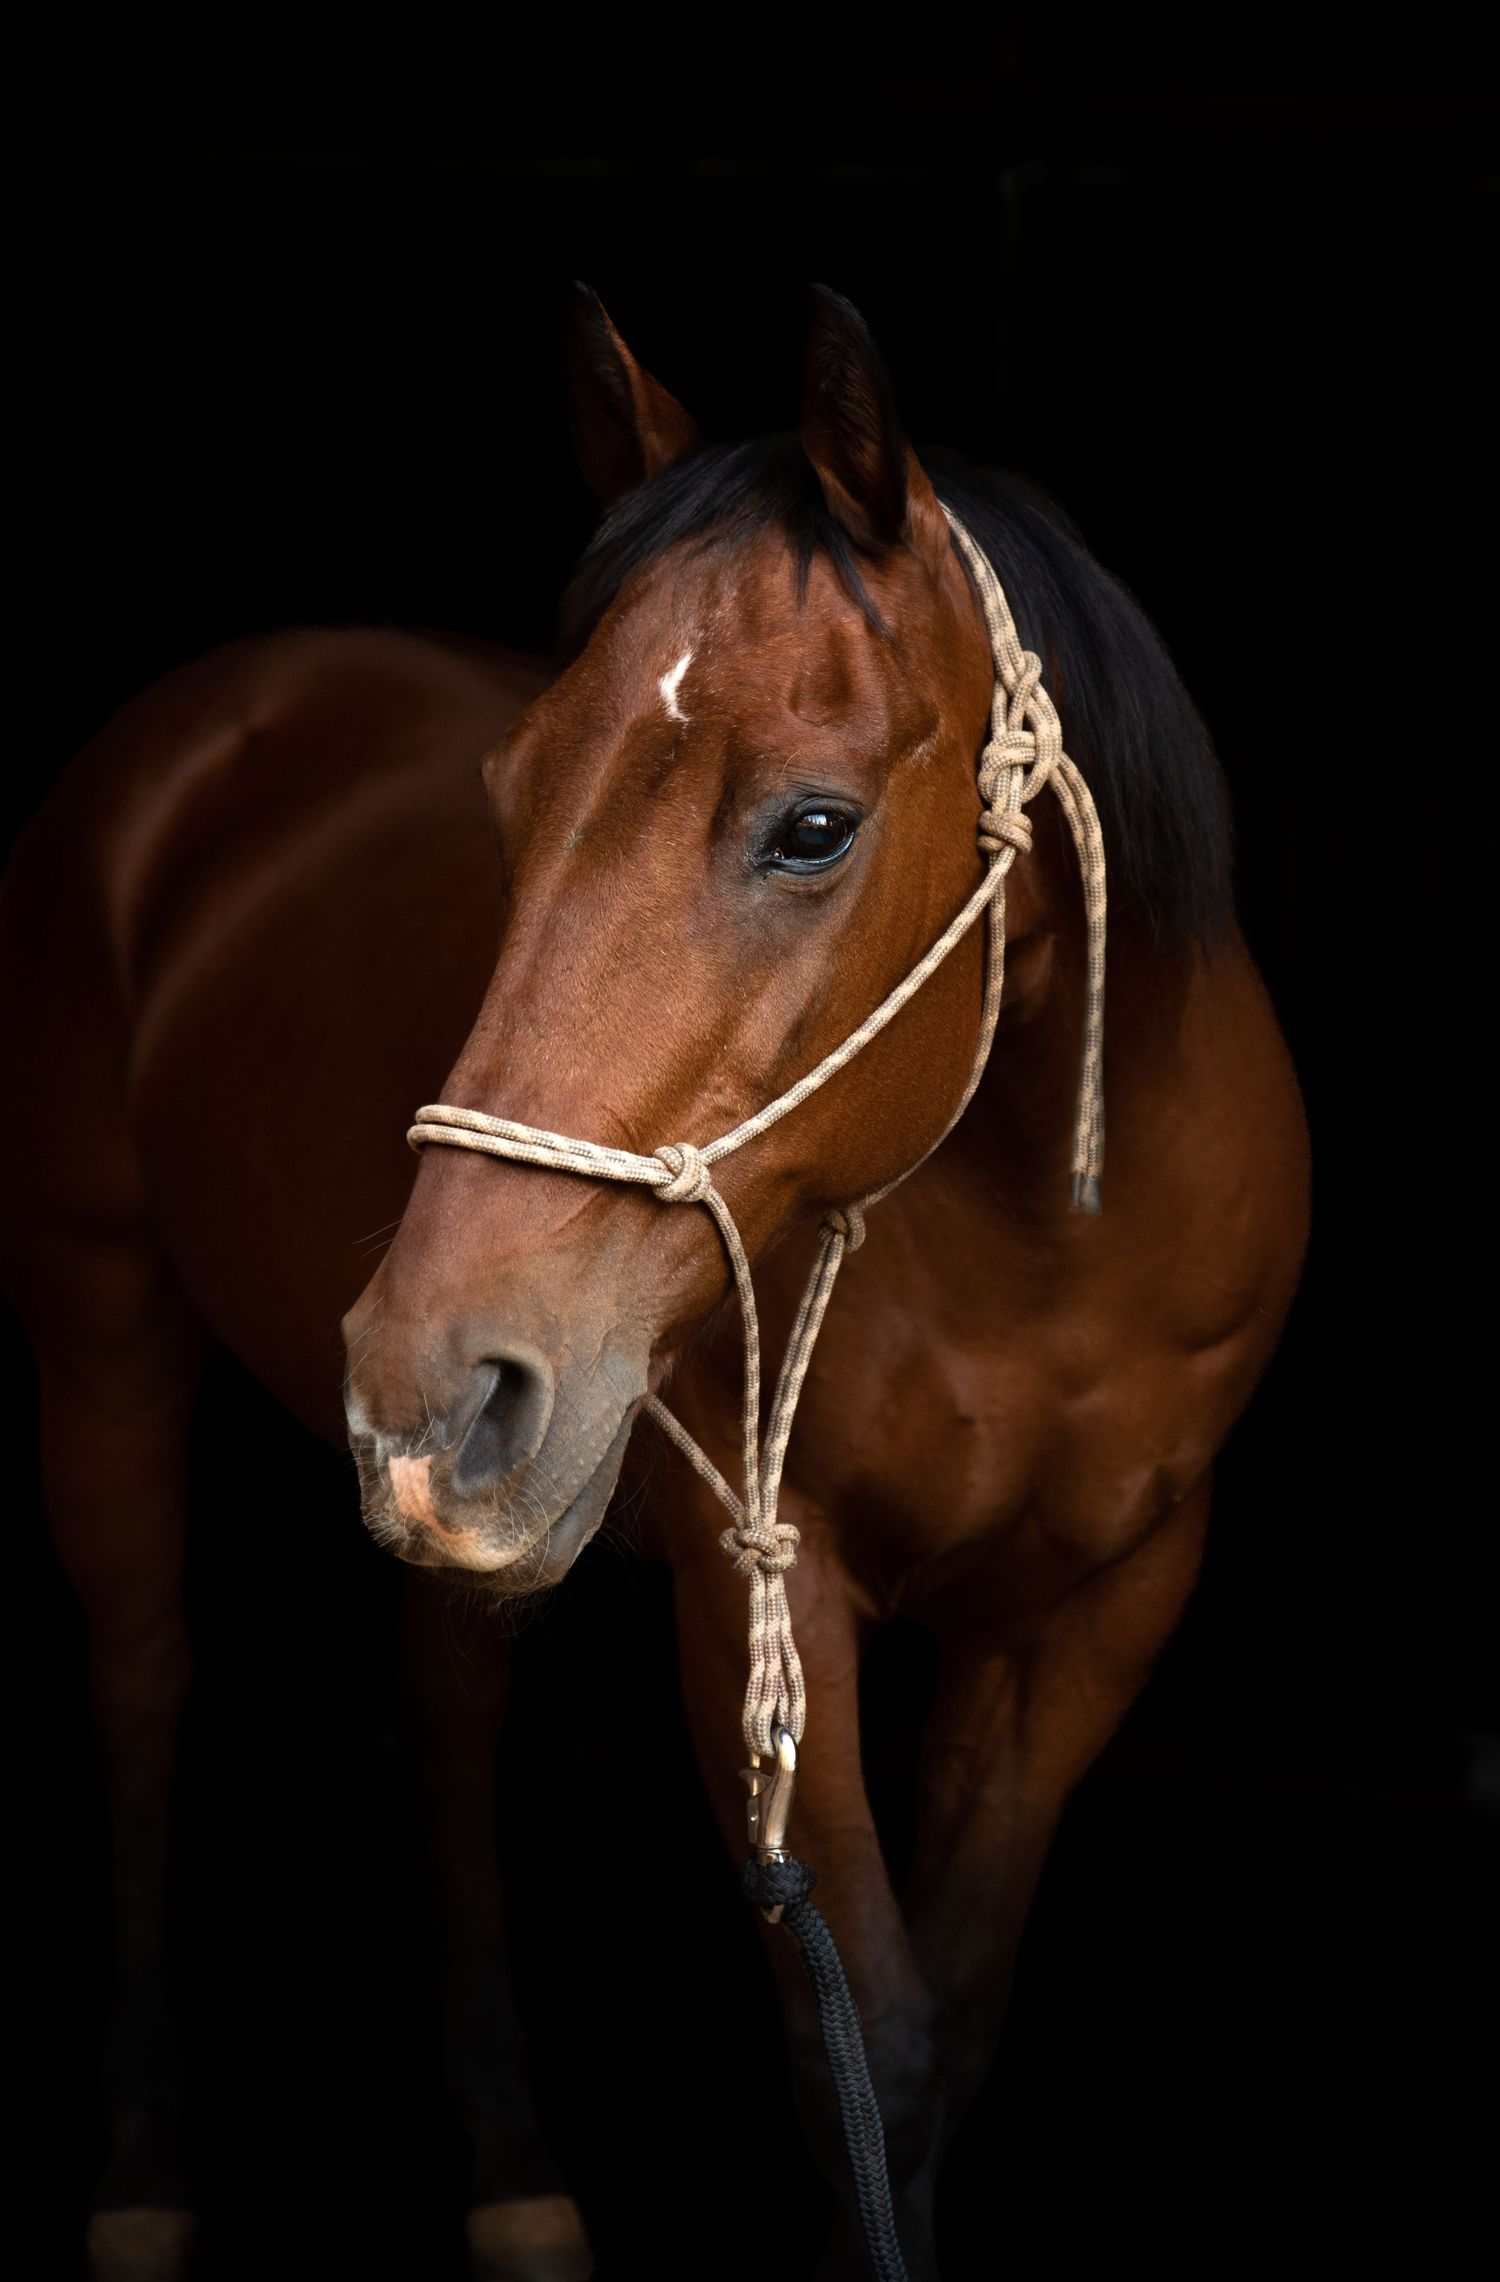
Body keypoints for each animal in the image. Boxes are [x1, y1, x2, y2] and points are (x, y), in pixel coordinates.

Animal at [1, 285, 1308, 2281]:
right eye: (509, 793)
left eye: (814, 825)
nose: (422, 1367)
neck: (1043, 1247)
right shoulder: (764, 1589)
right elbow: (870, 2054)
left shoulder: (1101, 1606)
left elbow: (960, 2023)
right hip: (104, 1319)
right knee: (144, 1688)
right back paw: (145, 2170)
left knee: (444, 1726)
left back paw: (508, 2160)